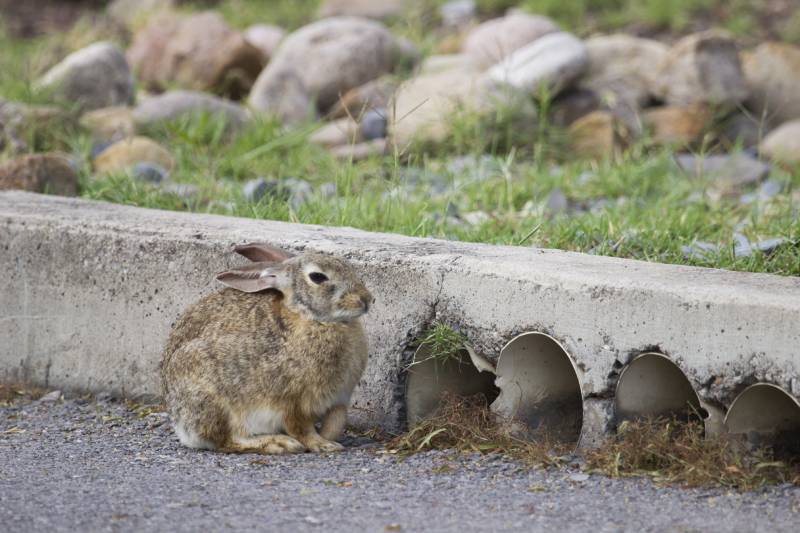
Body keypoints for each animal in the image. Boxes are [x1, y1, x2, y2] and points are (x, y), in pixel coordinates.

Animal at [163, 242, 378, 454]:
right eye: (318, 277)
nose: (367, 299)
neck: (311, 318)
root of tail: (181, 425)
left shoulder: (339, 399)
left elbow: (336, 422)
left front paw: (328, 439)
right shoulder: (292, 402)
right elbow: (301, 429)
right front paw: (323, 444)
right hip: (216, 401)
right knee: (228, 440)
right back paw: (278, 443)